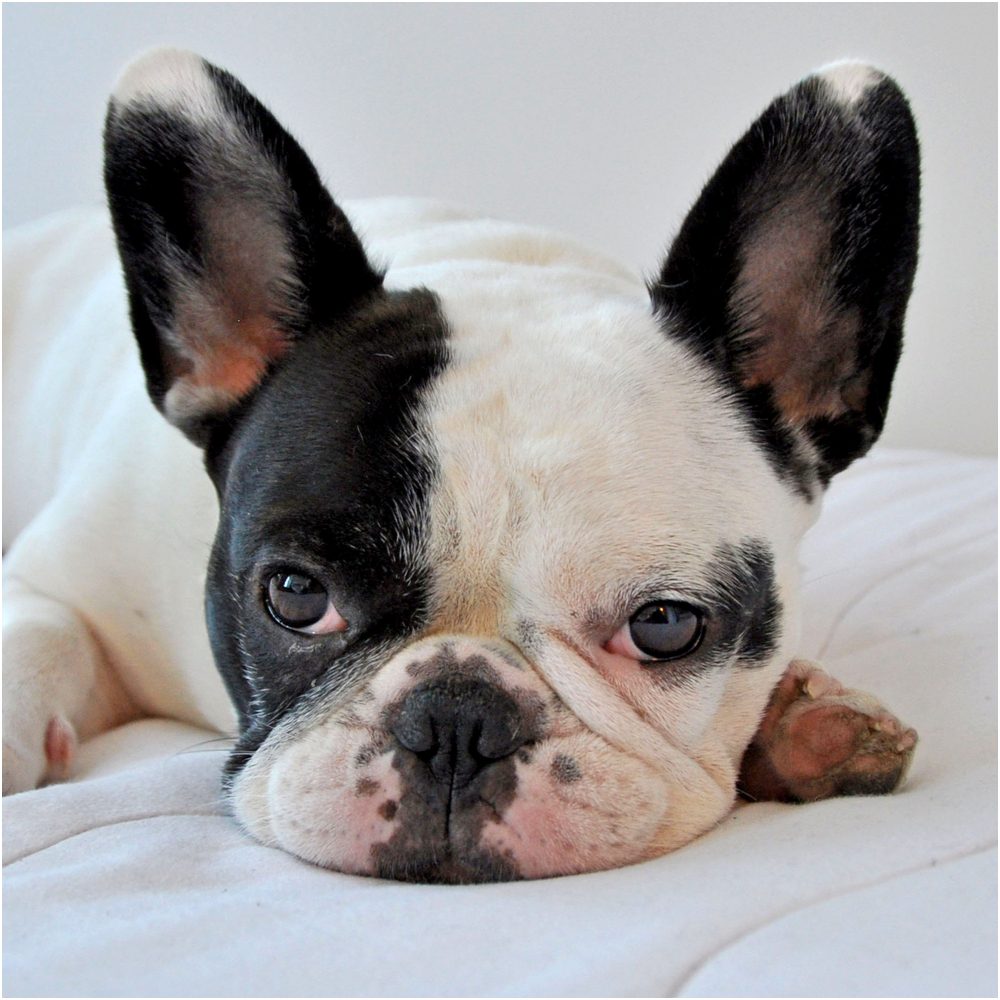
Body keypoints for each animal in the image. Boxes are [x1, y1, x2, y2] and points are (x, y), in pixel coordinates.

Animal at [1, 50, 920, 884]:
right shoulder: (62, 575)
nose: (454, 722)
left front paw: (806, 724)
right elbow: (37, 632)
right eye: (295, 596)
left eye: (665, 626)